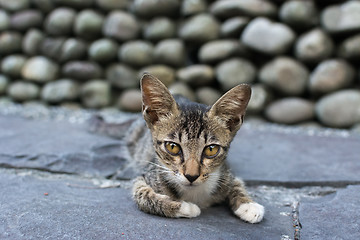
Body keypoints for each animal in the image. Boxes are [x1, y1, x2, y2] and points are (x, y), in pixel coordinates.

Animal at [129, 73, 264, 223]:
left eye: (211, 149)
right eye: (172, 147)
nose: (191, 176)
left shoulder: (226, 172)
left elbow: (237, 183)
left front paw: (249, 205)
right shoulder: (144, 177)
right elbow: (143, 195)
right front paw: (185, 207)